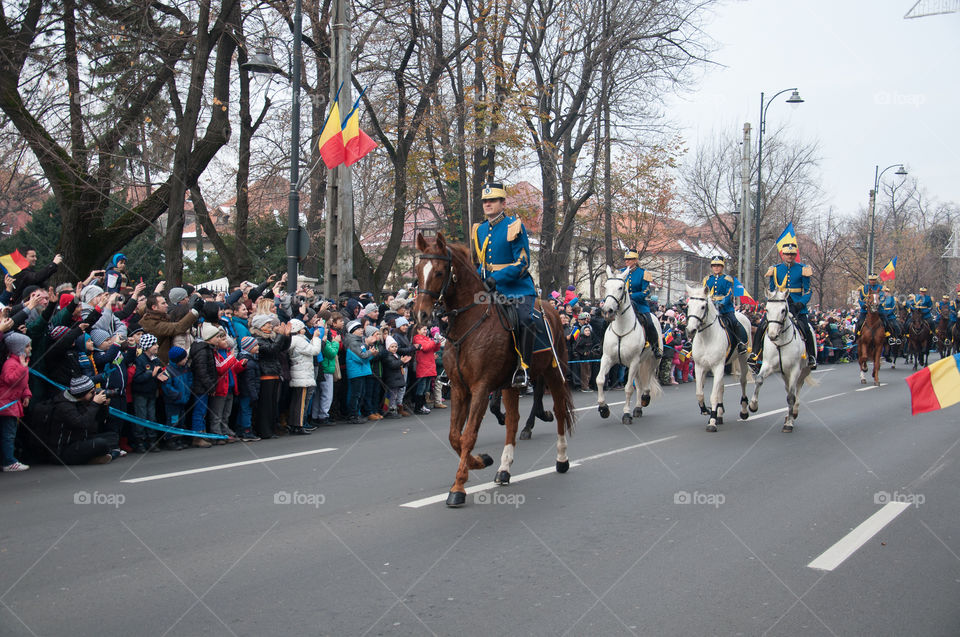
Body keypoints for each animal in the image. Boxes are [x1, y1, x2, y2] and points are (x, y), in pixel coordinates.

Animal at [414, 231, 576, 504]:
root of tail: (551, 310)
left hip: (555, 371)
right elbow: (455, 436)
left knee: (559, 410)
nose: (421, 315)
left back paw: (562, 459)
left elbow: (468, 434)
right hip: (512, 383)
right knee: (512, 420)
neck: (469, 323)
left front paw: (458, 487)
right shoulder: (459, 388)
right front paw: (481, 461)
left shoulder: (481, 387)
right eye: (417, 270)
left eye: (439, 272)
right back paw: (504, 469)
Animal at [596, 266, 664, 424]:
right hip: (637, 365)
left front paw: (626, 414)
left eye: (621, 287)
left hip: (651, 361)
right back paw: (638, 407)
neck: (622, 328)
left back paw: (645, 398)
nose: (607, 310)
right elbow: (600, 380)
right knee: (639, 384)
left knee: (646, 382)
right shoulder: (607, 358)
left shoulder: (634, 361)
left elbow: (628, 389)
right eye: (605, 286)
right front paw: (603, 408)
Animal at [688, 284, 752, 430]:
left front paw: (712, 421)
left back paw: (744, 411)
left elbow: (713, 396)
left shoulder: (717, 366)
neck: (707, 337)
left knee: (743, 381)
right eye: (688, 305)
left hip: (742, 359)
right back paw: (720, 413)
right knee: (721, 387)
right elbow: (700, 393)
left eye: (703, 306)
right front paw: (706, 410)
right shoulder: (700, 367)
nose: (690, 330)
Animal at [748, 288, 812, 432]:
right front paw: (753, 405)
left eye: (783, 310)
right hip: (784, 374)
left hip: (803, 371)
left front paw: (789, 424)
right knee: (789, 389)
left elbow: (791, 397)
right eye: (766, 309)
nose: (772, 335)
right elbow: (759, 380)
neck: (781, 341)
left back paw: (793, 413)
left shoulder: (794, 369)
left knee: (797, 389)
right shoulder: (768, 365)